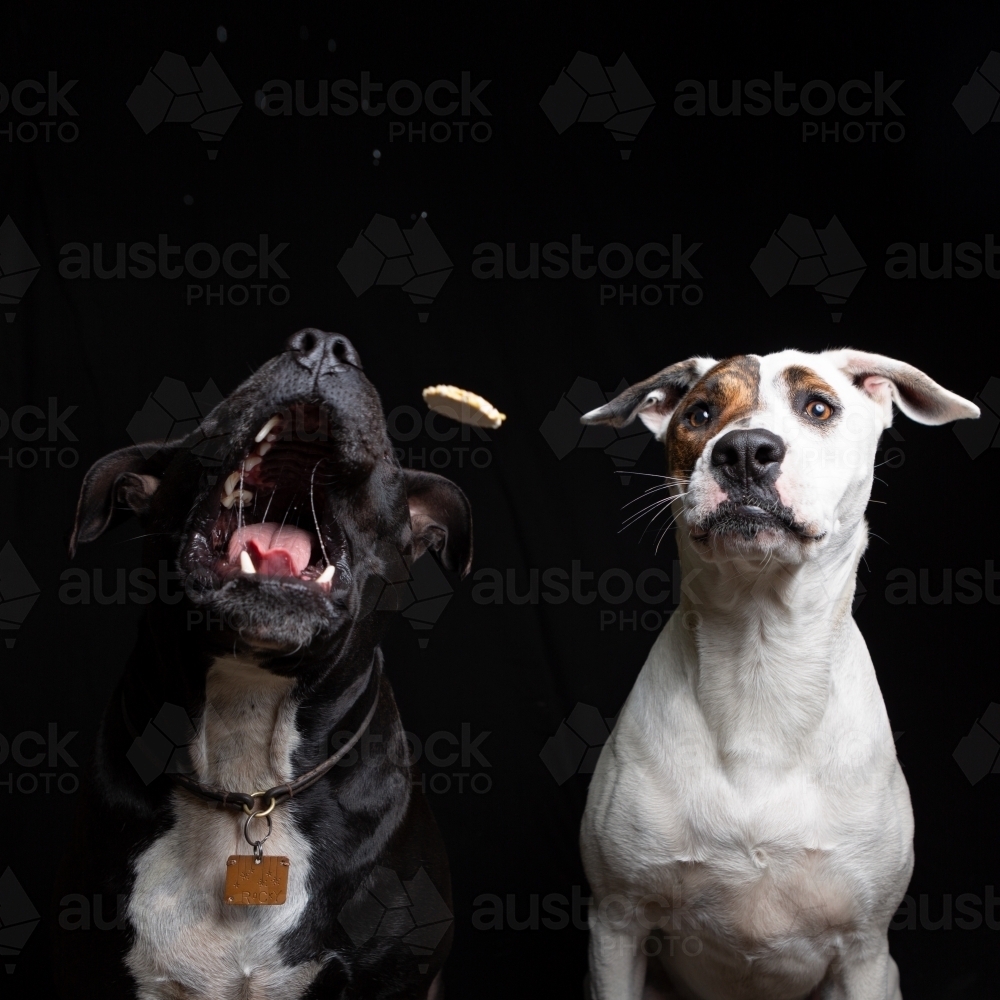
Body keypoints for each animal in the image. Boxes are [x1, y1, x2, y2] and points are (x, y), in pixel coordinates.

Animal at [580, 352, 976, 1000]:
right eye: (701, 414)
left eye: (818, 407)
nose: (744, 450)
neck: (760, 661)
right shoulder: (616, 924)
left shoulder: (864, 950)